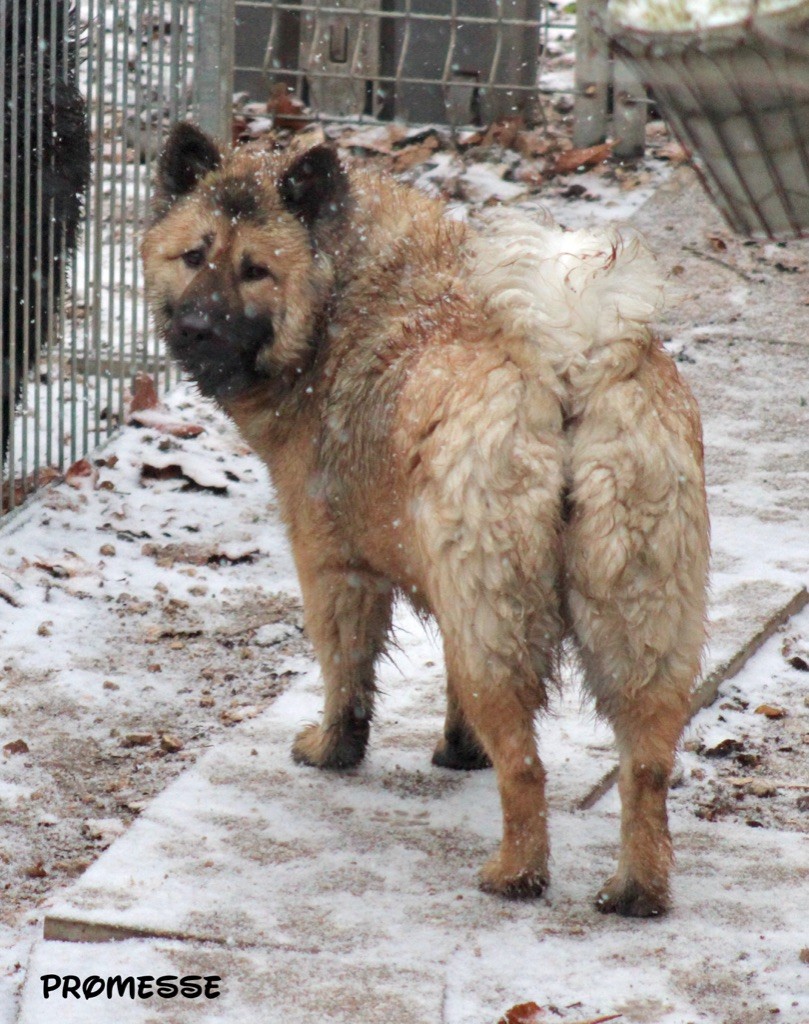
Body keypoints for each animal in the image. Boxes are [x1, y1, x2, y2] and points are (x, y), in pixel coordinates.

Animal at [144, 123, 708, 917]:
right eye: (194, 255)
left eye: (256, 270)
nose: (195, 327)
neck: (338, 297)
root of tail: (572, 363)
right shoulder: (440, 572)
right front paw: (458, 749)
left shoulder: (333, 563)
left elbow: (346, 673)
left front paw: (332, 750)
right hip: (640, 612)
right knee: (647, 765)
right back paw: (637, 888)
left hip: (496, 617)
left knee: (526, 765)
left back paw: (516, 873)